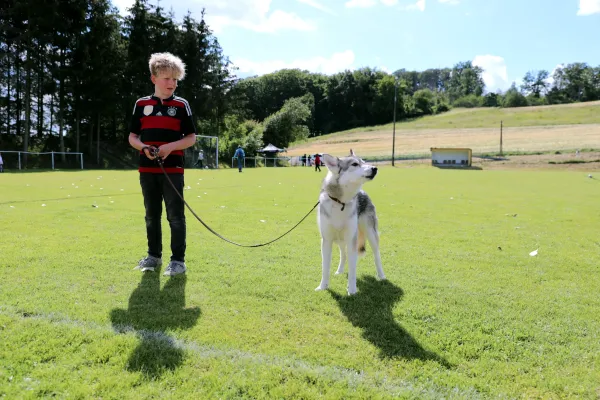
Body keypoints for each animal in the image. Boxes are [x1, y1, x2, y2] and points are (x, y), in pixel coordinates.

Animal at [316, 150, 386, 294]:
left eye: (364, 162)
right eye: (355, 164)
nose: (375, 168)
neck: (340, 203)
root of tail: (362, 192)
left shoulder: (352, 239)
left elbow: (353, 269)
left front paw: (352, 291)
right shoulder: (326, 240)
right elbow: (325, 268)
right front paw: (323, 286)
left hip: (370, 234)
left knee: (377, 255)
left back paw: (381, 276)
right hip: (340, 240)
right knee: (343, 255)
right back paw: (340, 270)